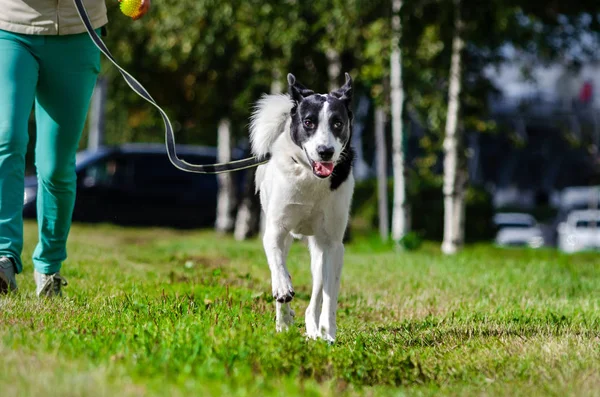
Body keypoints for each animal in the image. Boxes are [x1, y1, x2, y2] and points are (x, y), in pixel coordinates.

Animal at [250, 72, 356, 340]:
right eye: (308, 122)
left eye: (337, 123)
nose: (325, 151)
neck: (309, 175)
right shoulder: (275, 229)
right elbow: (277, 264)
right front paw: (282, 288)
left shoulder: (333, 244)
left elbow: (329, 296)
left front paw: (328, 334)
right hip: (287, 237)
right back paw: (284, 321)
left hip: (318, 250)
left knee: (316, 295)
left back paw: (314, 331)